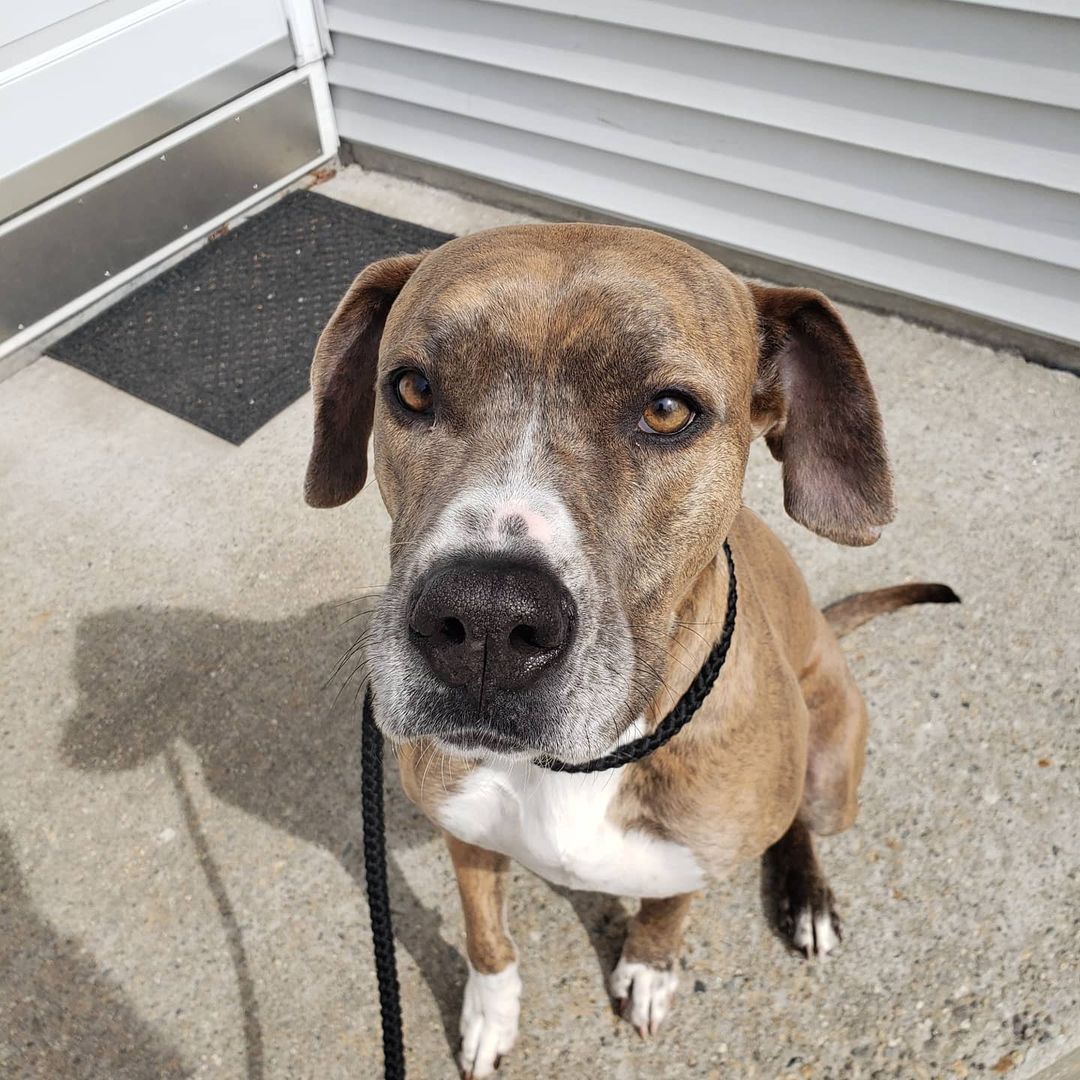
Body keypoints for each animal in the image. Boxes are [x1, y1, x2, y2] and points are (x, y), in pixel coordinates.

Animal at [302, 223, 954, 1075]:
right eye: (411, 389)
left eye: (669, 410)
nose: (485, 620)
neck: (576, 765)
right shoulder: (463, 831)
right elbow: (485, 935)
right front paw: (490, 1014)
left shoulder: (696, 848)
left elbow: (669, 907)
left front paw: (648, 966)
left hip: (827, 775)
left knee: (800, 824)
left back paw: (805, 897)